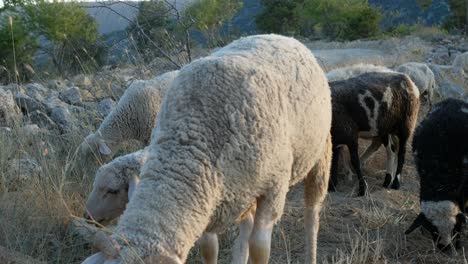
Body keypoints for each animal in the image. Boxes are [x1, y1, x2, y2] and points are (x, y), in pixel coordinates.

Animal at [82, 34, 334, 264]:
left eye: (112, 191)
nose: (86, 217)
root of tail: (281, 36)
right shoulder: (208, 200)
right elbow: (209, 249)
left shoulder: (273, 188)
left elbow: (259, 249)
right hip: (244, 190)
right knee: (246, 226)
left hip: (320, 152)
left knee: (312, 214)